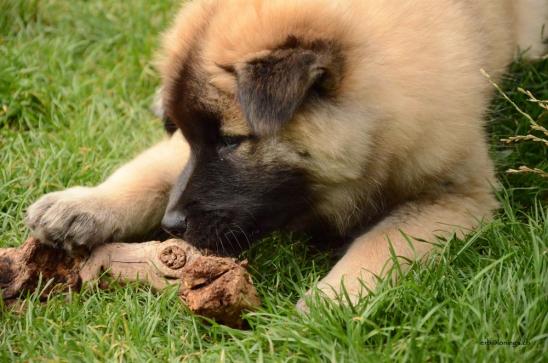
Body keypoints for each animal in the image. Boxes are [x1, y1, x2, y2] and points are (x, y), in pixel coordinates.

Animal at [26, 0, 548, 308]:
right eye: (193, 138)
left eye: (232, 141)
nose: (171, 227)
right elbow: (158, 169)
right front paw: (82, 205)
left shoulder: (455, 195)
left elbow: (380, 243)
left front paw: (327, 304)